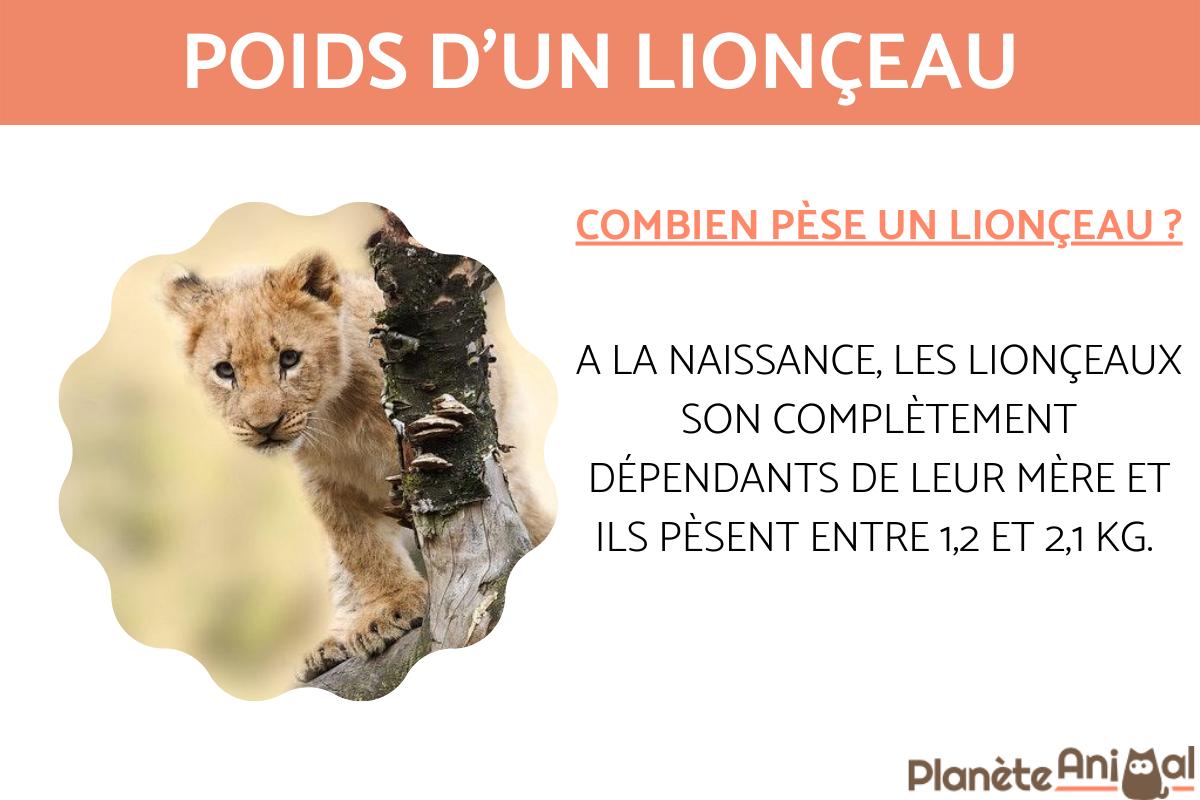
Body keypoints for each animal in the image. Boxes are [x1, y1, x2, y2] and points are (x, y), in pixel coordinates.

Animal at [164, 248, 551, 682]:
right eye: (225, 370)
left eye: (289, 359)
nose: (264, 427)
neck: (335, 417)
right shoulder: (326, 484)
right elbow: (359, 548)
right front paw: (387, 608)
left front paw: (392, 611)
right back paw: (331, 646)